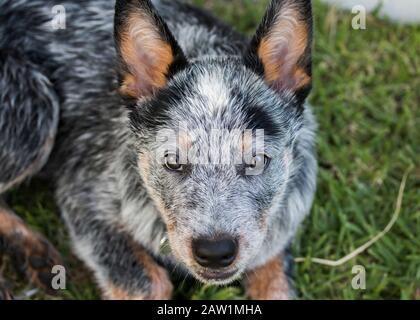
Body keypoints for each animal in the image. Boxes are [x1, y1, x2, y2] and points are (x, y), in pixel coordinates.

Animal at [0, 0, 316, 300]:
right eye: (173, 161)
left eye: (257, 160)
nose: (215, 252)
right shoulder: (83, 194)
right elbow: (149, 283)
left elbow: (276, 284)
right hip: (36, 109)